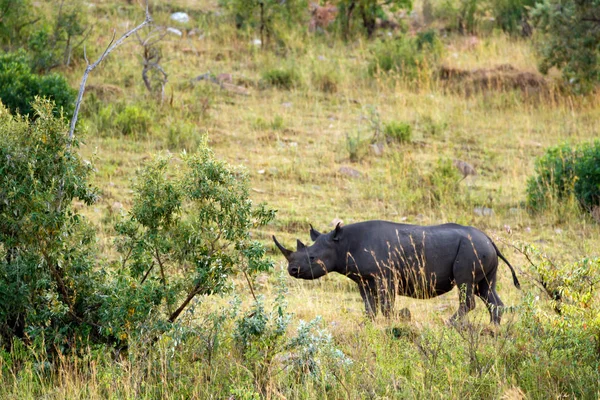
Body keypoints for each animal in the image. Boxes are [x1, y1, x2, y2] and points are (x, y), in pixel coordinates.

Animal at [272, 220, 520, 324]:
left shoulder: (385, 275)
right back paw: (494, 328)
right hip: (480, 248)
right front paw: (368, 324)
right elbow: (369, 305)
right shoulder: (364, 279)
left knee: (466, 286)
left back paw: (450, 323)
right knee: (485, 289)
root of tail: (490, 239)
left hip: (472, 248)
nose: (292, 270)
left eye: (312, 258)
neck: (341, 244)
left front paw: (394, 321)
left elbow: (386, 304)